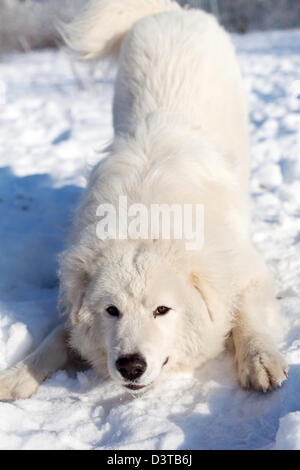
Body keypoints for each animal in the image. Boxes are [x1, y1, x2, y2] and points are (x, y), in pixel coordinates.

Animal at [0, 0, 288, 400]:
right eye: (111, 311)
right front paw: (20, 373)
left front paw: (259, 361)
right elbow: (60, 335)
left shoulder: (243, 269)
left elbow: (248, 315)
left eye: (161, 310)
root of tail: (172, 12)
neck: (147, 216)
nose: (130, 366)